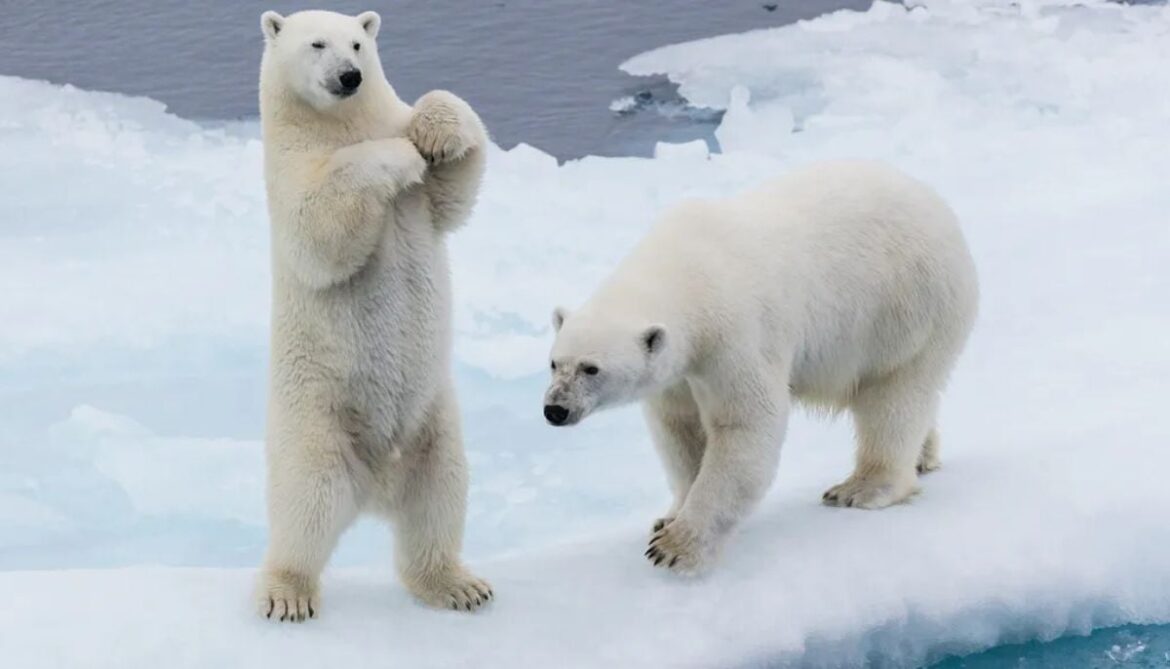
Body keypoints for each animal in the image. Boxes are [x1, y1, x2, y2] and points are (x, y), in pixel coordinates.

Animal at [255, 9, 492, 621]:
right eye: (316, 44)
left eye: (359, 43)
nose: (349, 77)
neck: (339, 124)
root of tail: (376, 487)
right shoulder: (289, 171)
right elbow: (320, 228)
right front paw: (399, 156)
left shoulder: (425, 200)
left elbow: (455, 189)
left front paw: (434, 134)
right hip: (315, 422)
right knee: (305, 507)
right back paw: (287, 593)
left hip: (433, 424)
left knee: (439, 498)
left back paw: (458, 585)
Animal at [543, 161, 978, 574]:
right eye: (553, 363)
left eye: (591, 369)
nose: (554, 410)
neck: (687, 270)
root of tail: (939, 208)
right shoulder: (680, 370)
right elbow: (680, 429)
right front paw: (668, 517)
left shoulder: (734, 334)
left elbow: (745, 424)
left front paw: (676, 547)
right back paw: (924, 456)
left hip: (906, 308)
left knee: (893, 397)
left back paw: (861, 487)